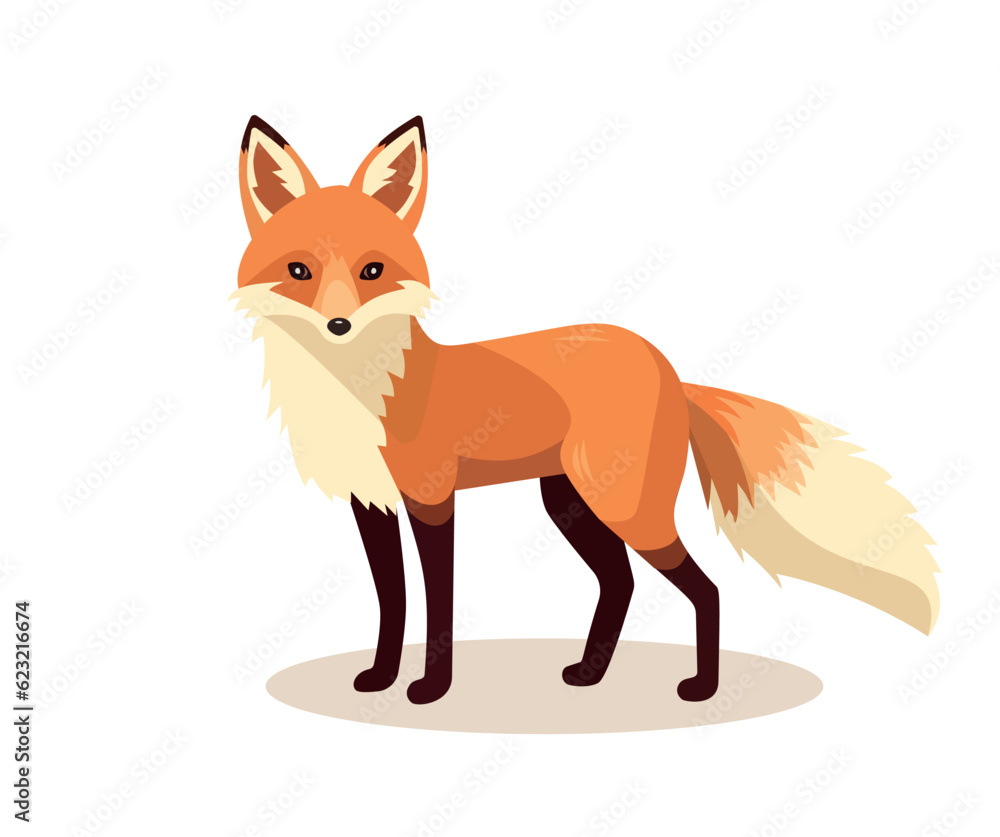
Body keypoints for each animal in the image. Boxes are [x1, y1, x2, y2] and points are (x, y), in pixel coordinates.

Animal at [232, 115, 940, 705]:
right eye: (299, 271)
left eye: (373, 270)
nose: (339, 325)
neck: (362, 391)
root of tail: (669, 369)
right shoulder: (371, 504)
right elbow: (392, 602)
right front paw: (380, 678)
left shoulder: (432, 499)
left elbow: (437, 604)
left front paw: (430, 689)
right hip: (570, 501)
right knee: (620, 583)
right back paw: (590, 674)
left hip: (624, 507)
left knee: (702, 587)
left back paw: (702, 689)